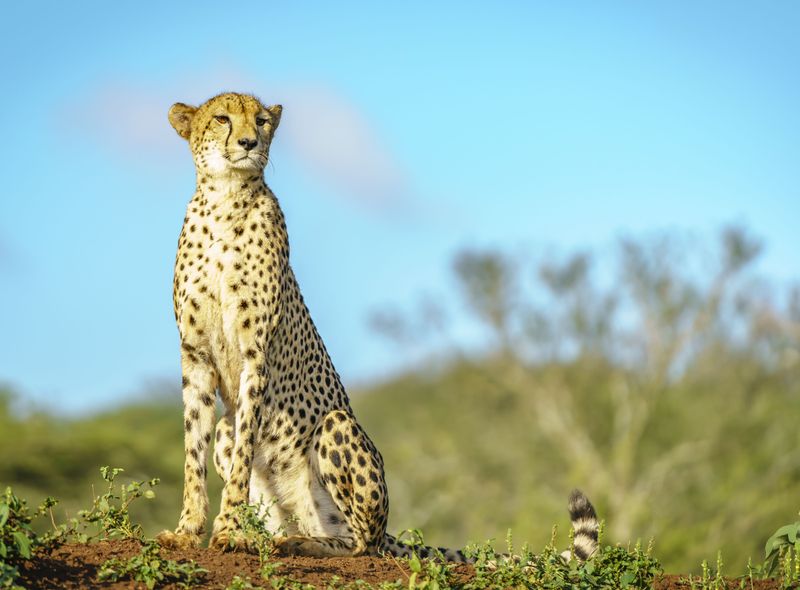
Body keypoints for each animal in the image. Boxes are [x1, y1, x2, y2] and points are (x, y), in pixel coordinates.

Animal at [156, 92, 599, 563]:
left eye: (260, 121)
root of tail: (387, 530)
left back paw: (304, 544)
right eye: (222, 118)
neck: (226, 199)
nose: (248, 142)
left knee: (360, 544)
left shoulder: (256, 354)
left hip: (336, 429)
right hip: (242, 439)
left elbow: (241, 460)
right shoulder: (196, 355)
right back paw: (279, 540)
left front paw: (225, 530)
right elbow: (192, 451)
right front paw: (188, 530)